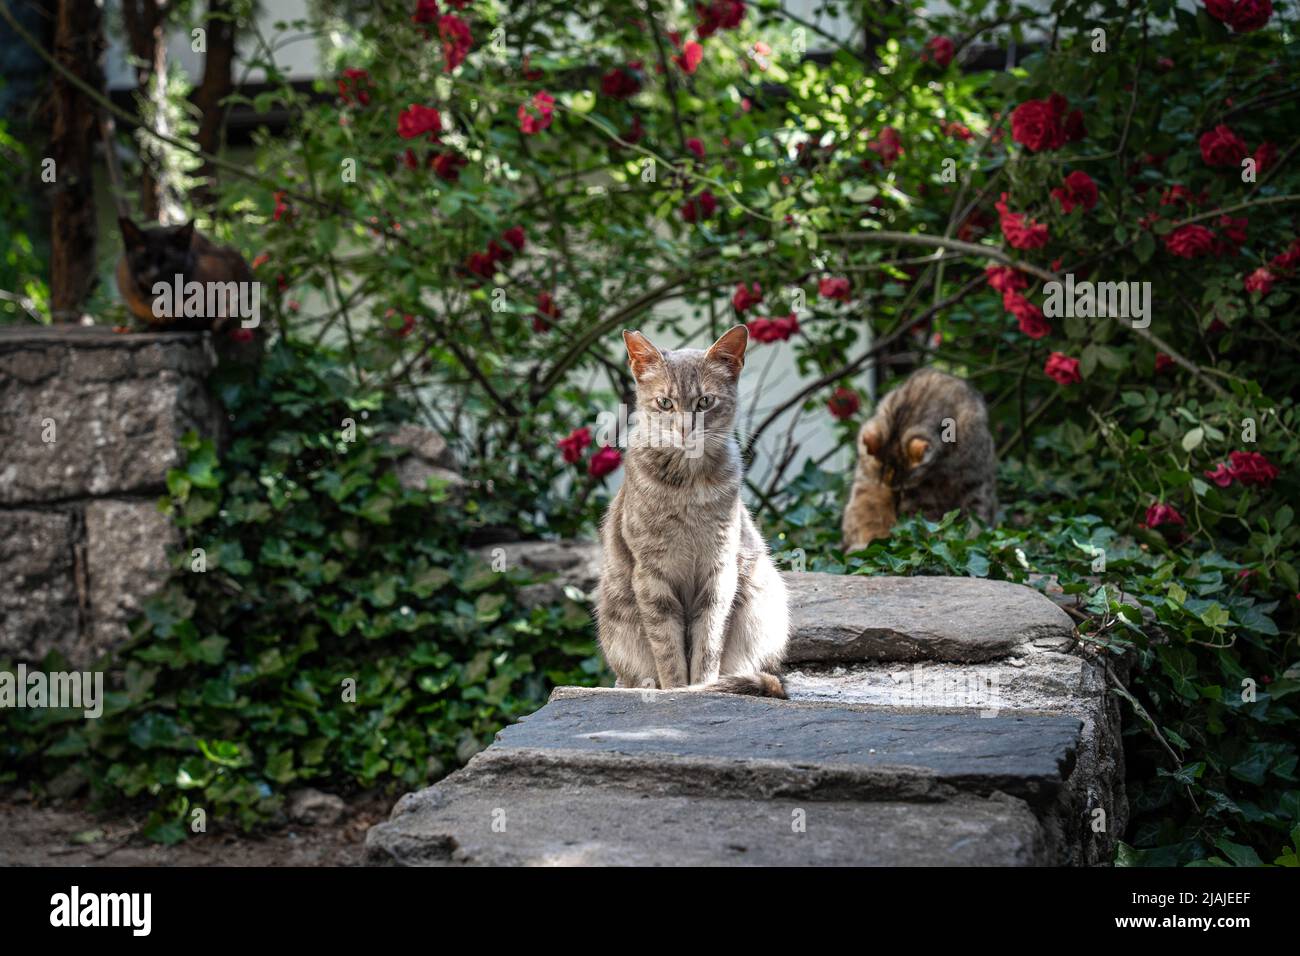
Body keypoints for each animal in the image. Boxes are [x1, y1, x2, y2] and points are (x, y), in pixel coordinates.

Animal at [595, 325, 785, 697]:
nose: (685, 428)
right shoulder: (651, 576)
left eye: (705, 402)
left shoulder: (719, 571)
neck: (687, 488)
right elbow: (667, 650)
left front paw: (702, 687)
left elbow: (708, 643)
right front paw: (676, 690)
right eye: (665, 403)